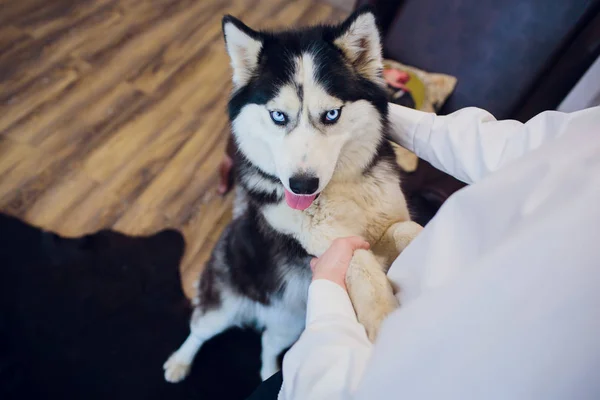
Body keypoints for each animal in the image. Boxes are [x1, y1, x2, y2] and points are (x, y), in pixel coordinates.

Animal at [164, 6, 422, 382]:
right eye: (277, 115)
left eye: (332, 114)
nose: (301, 185)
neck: (338, 194)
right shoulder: (324, 245)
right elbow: (359, 266)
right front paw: (385, 318)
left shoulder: (380, 233)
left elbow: (403, 229)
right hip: (223, 307)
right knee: (198, 330)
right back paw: (179, 362)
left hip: (290, 324)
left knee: (269, 346)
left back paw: (270, 371)